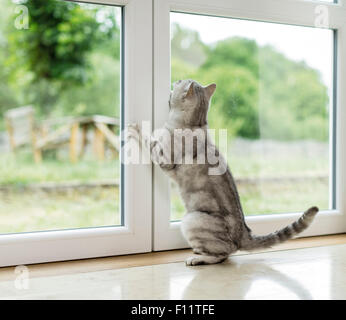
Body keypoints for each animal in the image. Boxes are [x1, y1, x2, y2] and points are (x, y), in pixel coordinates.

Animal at [129, 79, 318, 264]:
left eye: (179, 81)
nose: (175, 80)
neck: (196, 123)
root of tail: (244, 234)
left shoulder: (164, 157)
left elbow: (148, 139)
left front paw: (134, 128)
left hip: (191, 220)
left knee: (223, 254)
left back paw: (197, 258)